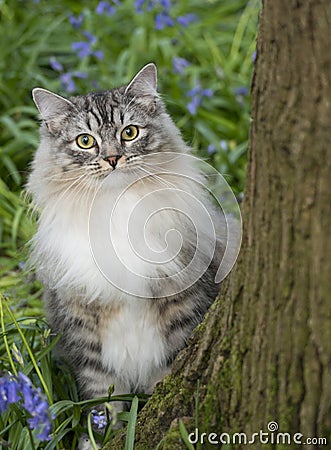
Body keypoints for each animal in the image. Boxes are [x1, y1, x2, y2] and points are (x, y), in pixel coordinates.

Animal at [26, 63, 239, 440]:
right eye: (85, 141)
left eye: (129, 133)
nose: (112, 158)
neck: (116, 207)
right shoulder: (86, 329)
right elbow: (102, 400)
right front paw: (101, 438)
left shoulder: (180, 310)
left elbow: (165, 375)